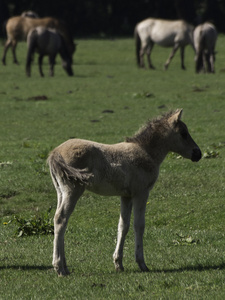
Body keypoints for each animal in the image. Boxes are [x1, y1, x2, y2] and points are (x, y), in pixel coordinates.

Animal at [46, 109, 201, 276]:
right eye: (183, 133)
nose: (198, 153)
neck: (146, 152)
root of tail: (55, 152)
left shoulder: (126, 196)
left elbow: (123, 226)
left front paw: (118, 264)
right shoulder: (141, 193)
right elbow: (139, 225)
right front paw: (142, 263)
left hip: (60, 191)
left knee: (60, 220)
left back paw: (65, 267)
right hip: (73, 190)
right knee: (61, 219)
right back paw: (59, 267)